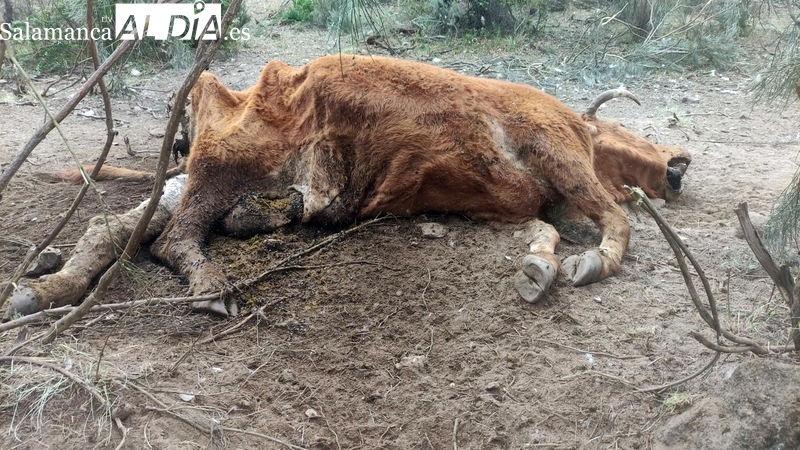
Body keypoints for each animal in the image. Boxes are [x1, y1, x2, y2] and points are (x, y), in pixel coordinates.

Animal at [5, 55, 691, 319]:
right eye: (621, 126)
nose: (679, 165)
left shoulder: (505, 207)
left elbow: (544, 231)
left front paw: (540, 269)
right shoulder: (556, 148)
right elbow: (617, 221)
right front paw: (589, 264)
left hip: (212, 183)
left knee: (121, 227)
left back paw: (39, 287)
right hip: (223, 168)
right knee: (171, 238)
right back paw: (209, 289)